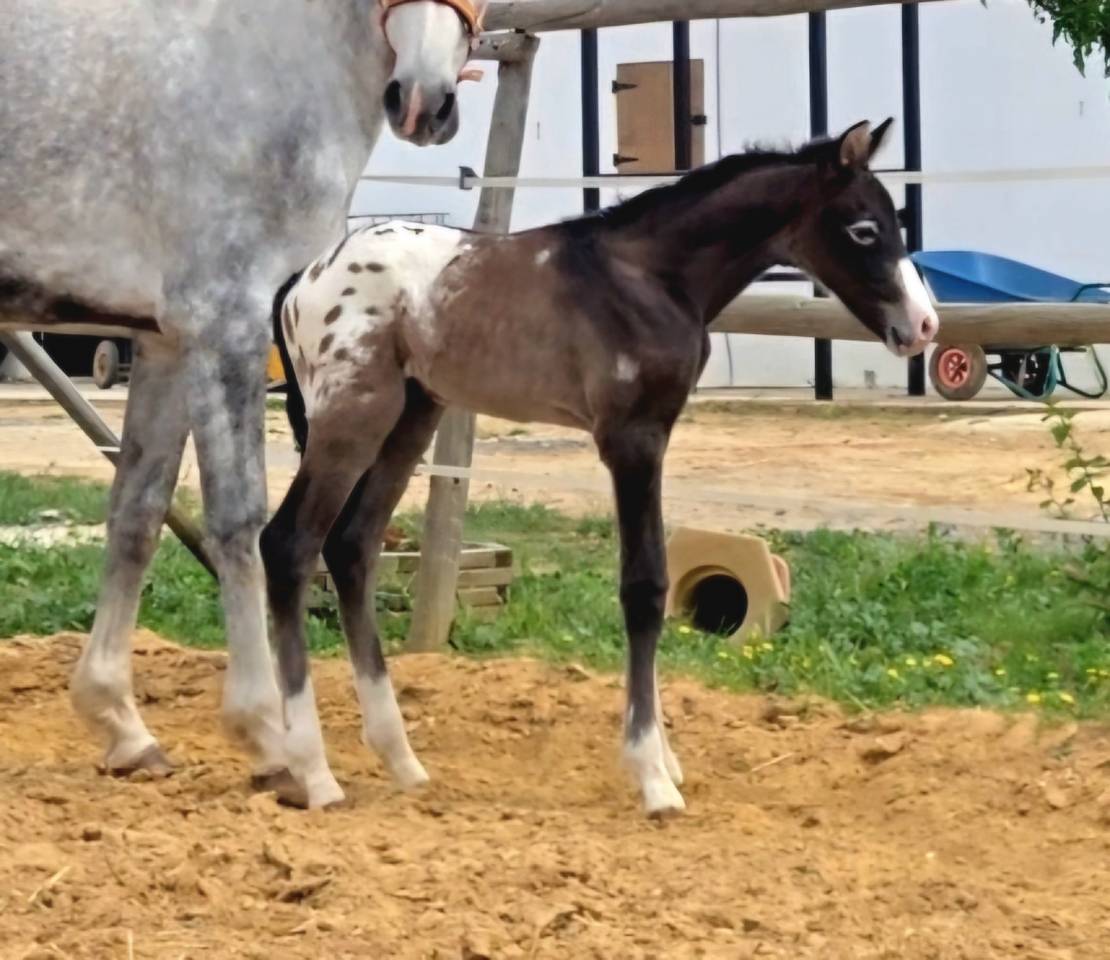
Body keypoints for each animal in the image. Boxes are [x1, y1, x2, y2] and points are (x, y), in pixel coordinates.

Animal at [0, 0, 486, 788]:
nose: (421, 99)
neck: (261, 59)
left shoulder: (167, 342)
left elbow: (137, 515)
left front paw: (122, 725)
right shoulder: (226, 320)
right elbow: (238, 520)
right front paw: (273, 740)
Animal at [262, 119, 940, 814]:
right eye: (864, 230)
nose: (924, 325)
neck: (650, 277)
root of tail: (302, 280)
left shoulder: (654, 435)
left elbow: (655, 580)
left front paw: (666, 760)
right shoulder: (631, 438)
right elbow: (643, 587)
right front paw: (652, 777)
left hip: (410, 419)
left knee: (352, 546)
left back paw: (402, 761)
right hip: (353, 418)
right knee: (289, 543)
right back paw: (316, 773)